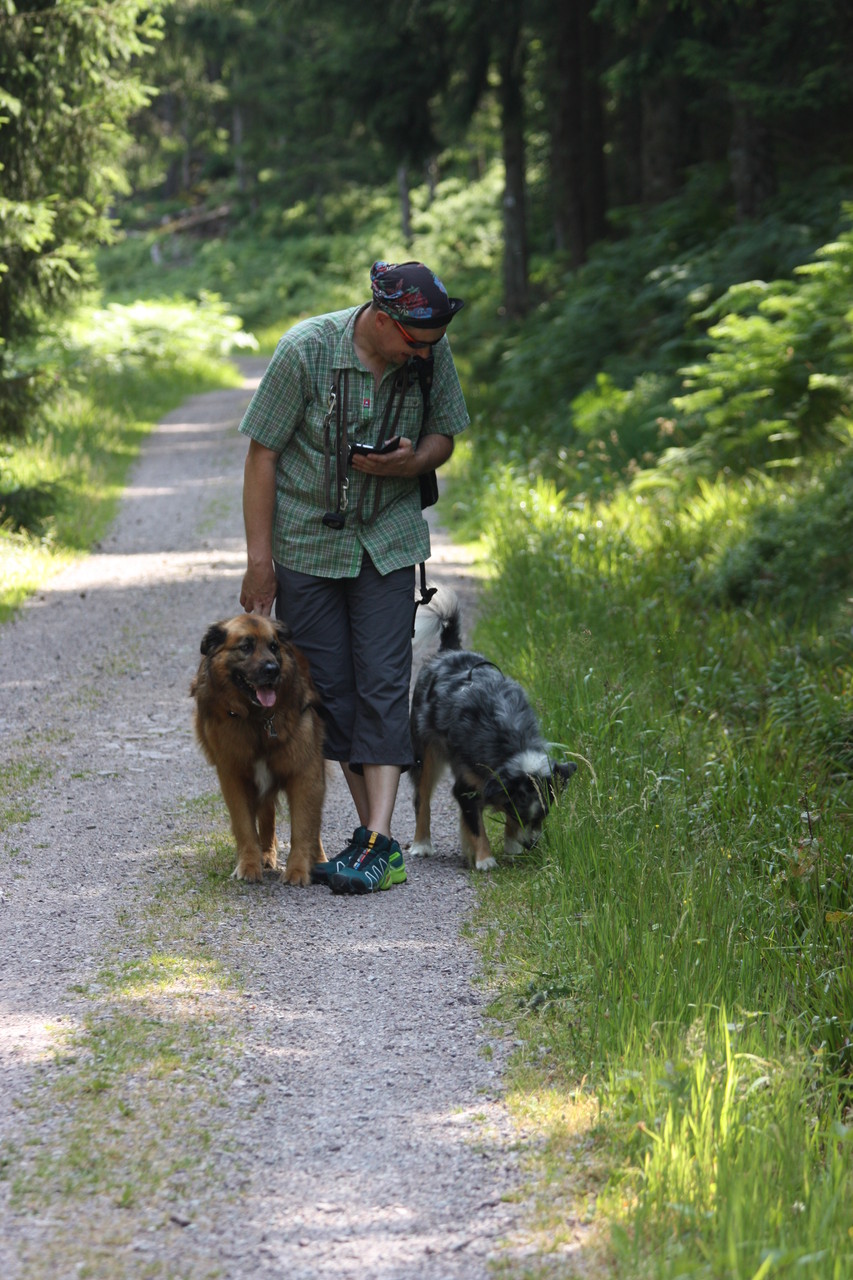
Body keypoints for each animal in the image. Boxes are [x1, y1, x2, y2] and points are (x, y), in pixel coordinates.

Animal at [189, 614, 325, 885]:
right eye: (245, 647)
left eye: (273, 646)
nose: (272, 670)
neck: (257, 719)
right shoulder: (233, 775)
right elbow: (244, 826)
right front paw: (249, 865)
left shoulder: (305, 772)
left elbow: (304, 826)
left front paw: (298, 870)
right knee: (267, 813)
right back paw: (266, 854)